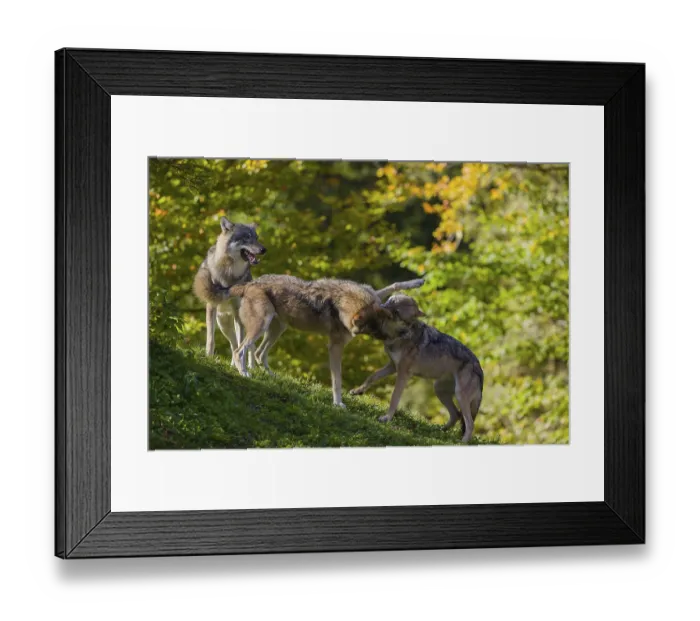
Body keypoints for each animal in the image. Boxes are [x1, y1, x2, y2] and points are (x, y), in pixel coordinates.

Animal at [192, 216, 266, 365]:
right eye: (246, 238)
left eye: (256, 238)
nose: (263, 249)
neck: (229, 271)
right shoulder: (211, 305)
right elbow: (211, 339)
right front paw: (208, 357)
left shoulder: (237, 311)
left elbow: (242, 343)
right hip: (223, 324)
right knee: (233, 344)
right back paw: (233, 364)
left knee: (249, 345)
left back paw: (251, 367)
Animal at [226, 275, 425, 407]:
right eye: (371, 332)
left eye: (378, 328)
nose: (387, 338)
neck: (343, 300)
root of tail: (249, 284)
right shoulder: (335, 347)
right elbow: (337, 380)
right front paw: (338, 404)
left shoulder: (375, 295)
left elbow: (394, 285)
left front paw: (418, 281)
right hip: (261, 326)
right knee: (239, 351)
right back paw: (244, 373)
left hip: (277, 329)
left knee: (259, 354)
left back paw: (271, 375)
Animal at [349, 294, 483, 443]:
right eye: (390, 301)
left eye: (396, 313)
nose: (380, 306)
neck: (400, 334)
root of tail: (479, 366)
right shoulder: (392, 366)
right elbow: (372, 376)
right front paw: (358, 391)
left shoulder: (403, 373)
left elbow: (394, 397)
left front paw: (387, 418)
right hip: (439, 390)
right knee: (456, 415)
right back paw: (439, 431)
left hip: (460, 396)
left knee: (470, 423)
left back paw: (461, 442)